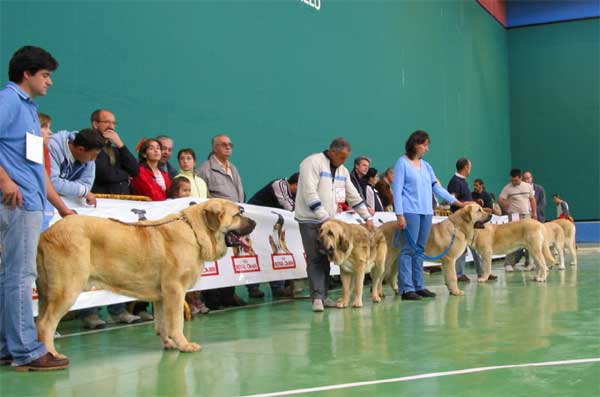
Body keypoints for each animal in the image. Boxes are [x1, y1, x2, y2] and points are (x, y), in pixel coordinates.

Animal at [35, 200, 255, 358]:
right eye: (238, 214)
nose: (255, 223)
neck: (194, 231)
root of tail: (45, 234)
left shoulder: (162, 296)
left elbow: (162, 323)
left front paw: (169, 343)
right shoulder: (175, 289)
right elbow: (176, 322)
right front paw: (184, 345)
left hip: (46, 294)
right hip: (66, 290)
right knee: (46, 324)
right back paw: (52, 354)